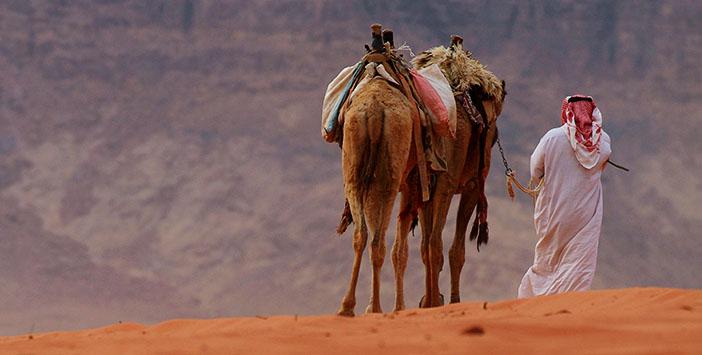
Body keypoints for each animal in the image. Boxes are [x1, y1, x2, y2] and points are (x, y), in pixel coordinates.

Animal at [394, 36, 508, 308]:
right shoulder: (472, 186)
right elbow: (456, 250)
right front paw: (452, 299)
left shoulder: (427, 188)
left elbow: (428, 246)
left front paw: (430, 298)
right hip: (446, 184)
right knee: (436, 243)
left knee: (427, 244)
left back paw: (429, 299)